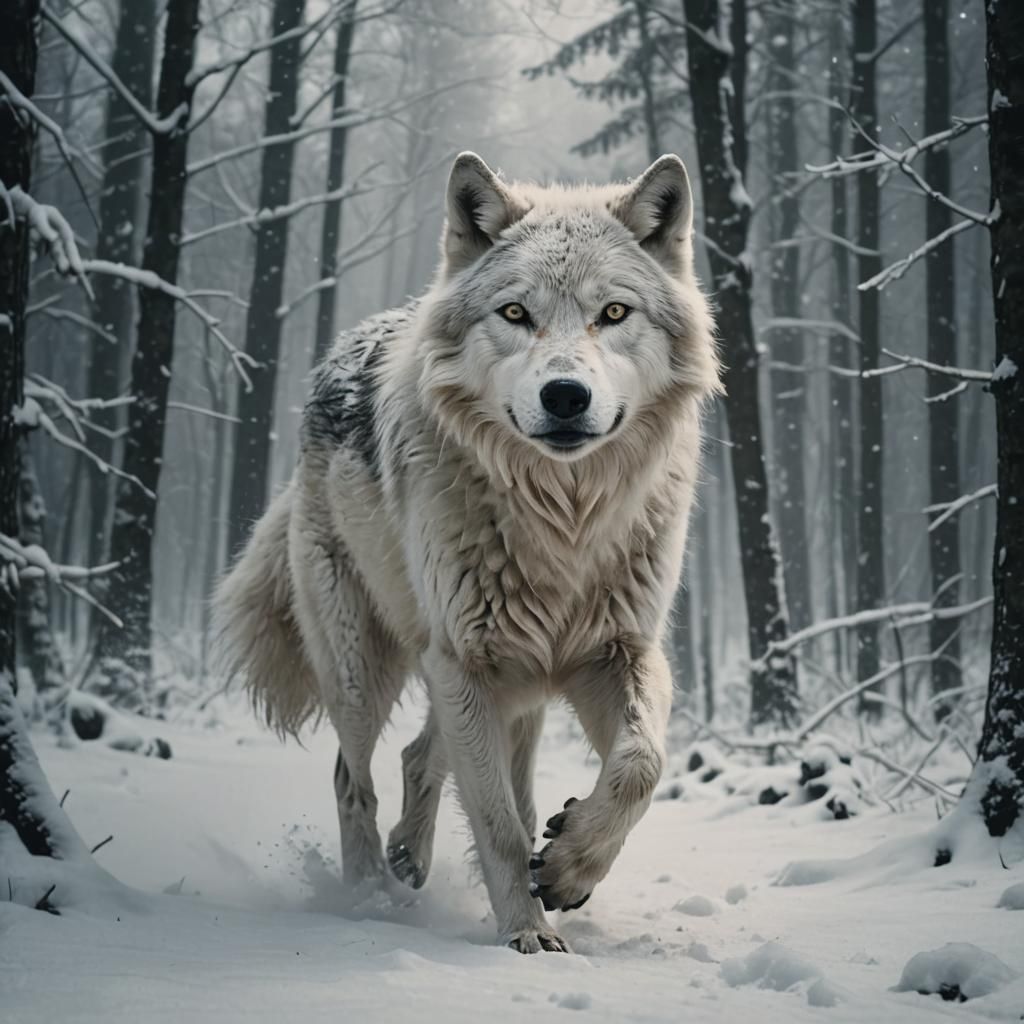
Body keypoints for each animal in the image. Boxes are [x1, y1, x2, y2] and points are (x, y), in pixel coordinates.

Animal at [216, 152, 720, 953]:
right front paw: (529, 937)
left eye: (613, 314)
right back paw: (367, 895)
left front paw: (570, 867)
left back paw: (411, 858)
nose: (566, 395)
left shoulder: (619, 651)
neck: (562, 523)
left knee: (423, 757)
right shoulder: (467, 663)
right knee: (353, 775)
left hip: (512, 686)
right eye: (515, 314)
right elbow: (500, 825)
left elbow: (642, 763)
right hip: (368, 668)